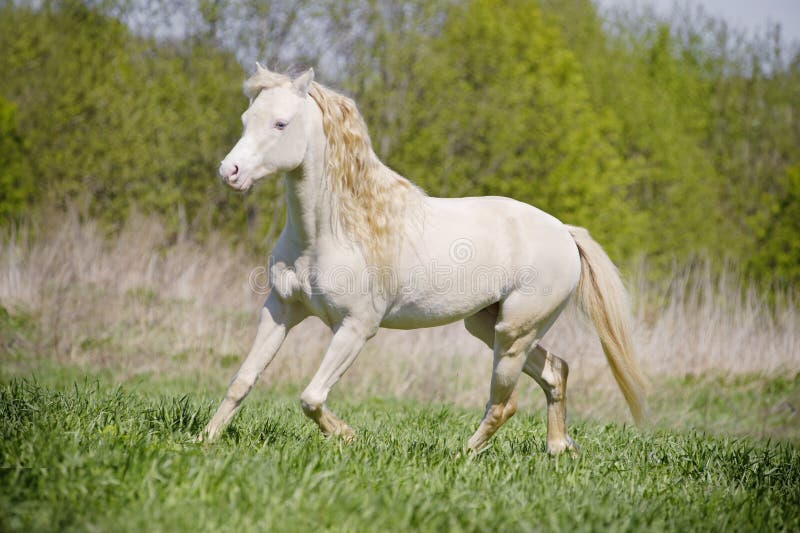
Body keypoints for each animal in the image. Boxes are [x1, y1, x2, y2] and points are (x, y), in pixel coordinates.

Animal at [200, 64, 648, 455]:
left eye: (280, 124)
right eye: (246, 118)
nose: (229, 172)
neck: (332, 231)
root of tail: (565, 233)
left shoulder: (356, 328)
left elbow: (311, 396)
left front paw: (349, 436)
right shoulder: (280, 310)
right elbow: (242, 380)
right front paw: (203, 440)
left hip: (514, 334)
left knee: (504, 403)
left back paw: (463, 454)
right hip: (486, 325)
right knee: (555, 371)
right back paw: (557, 448)